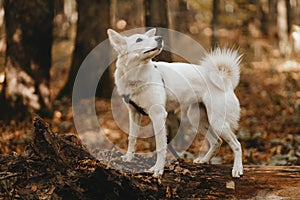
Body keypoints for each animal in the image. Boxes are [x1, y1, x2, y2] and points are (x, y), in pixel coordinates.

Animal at [106, 27, 243, 177]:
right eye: (139, 39)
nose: (159, 38)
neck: (136, 76)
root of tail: (223, 78)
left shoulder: (158, 115)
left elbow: (161, 146)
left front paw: (158, 169)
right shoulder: (134, 113)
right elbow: (132, 138)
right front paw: (129, 158)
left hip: (217, 121)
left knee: (236, 145)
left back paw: (237, 169)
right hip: (198, 119)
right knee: (217, 142)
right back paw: (204, 160)